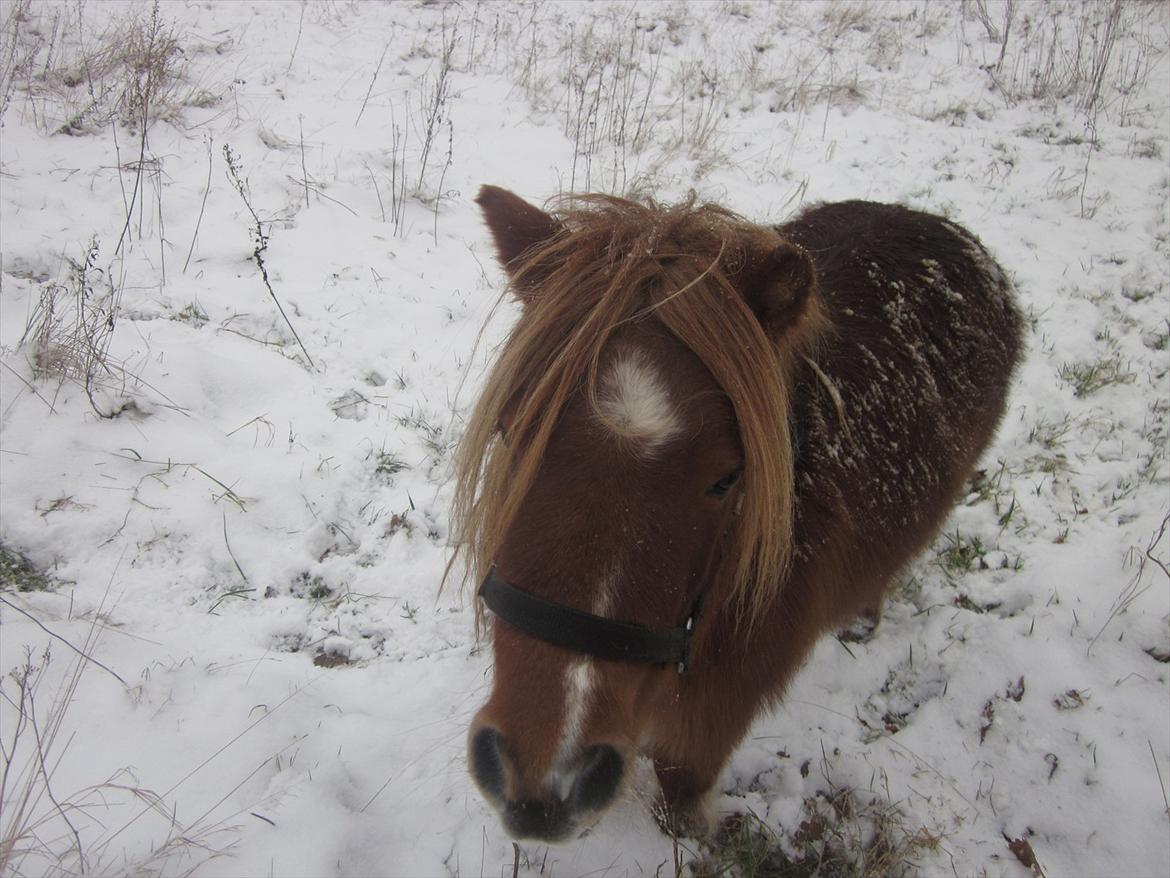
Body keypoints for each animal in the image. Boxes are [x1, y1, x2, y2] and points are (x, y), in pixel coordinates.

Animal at [451, 187, 1020, 847]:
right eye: (511, 432)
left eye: (727, 478)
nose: (544, 775)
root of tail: (935, 224)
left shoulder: (711, 718)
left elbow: (681, 783)